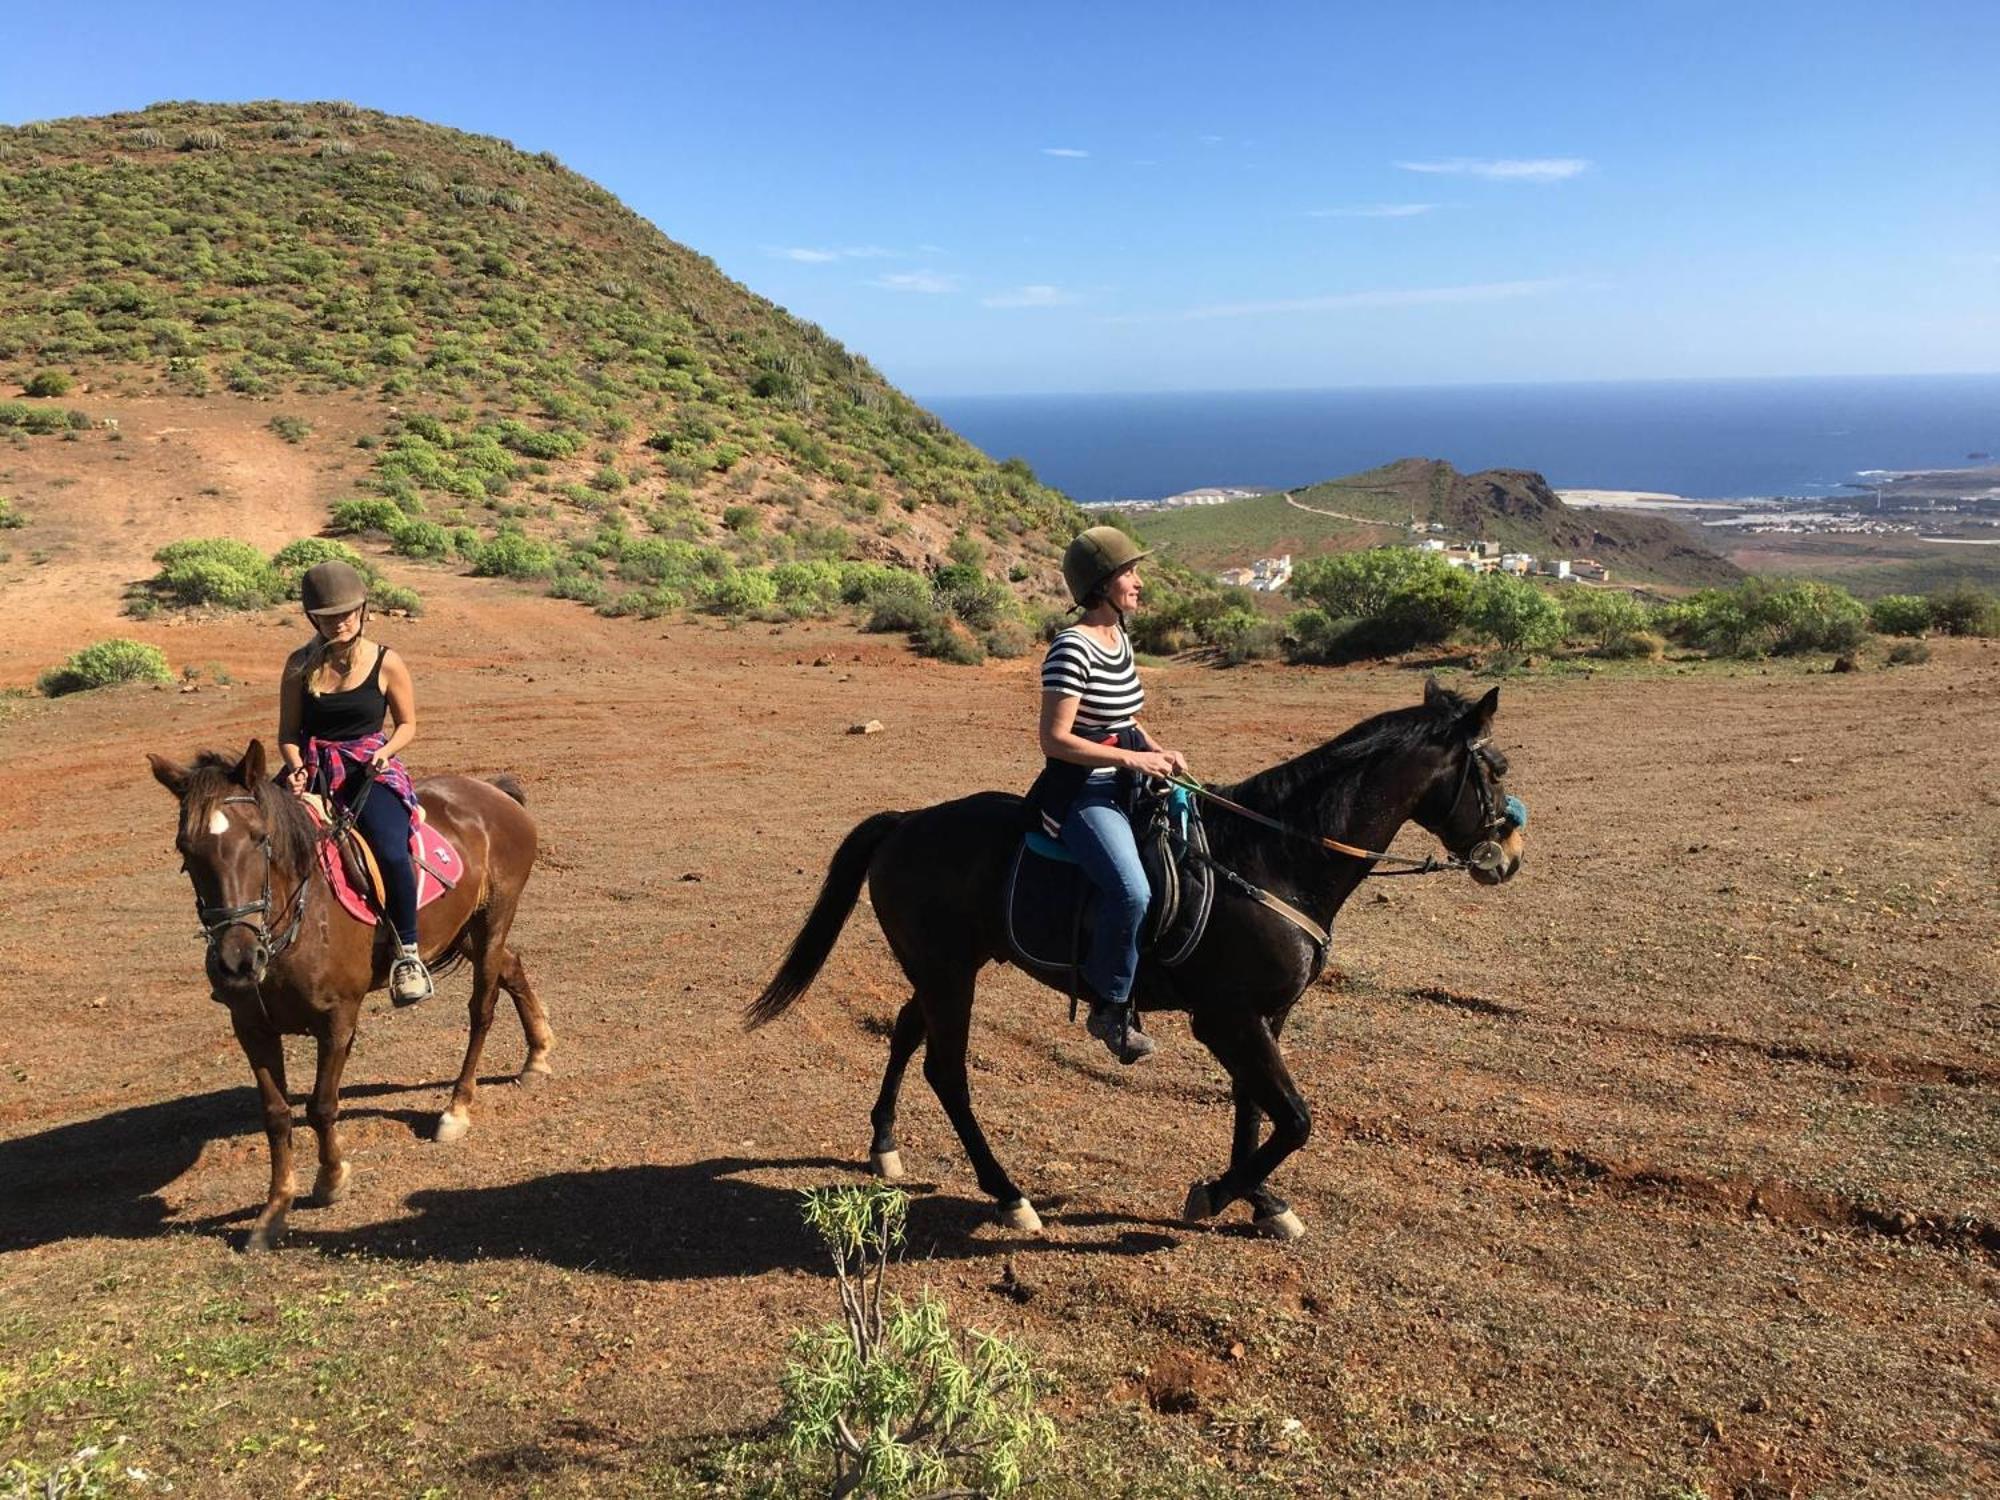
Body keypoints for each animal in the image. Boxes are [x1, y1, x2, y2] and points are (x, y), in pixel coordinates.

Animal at [146, 736, 556, 1248]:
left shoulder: (337, 1020)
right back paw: (537, 1055)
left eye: (259, 838)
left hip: (493, 920)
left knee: (482, 1008)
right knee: (512, 967)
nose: (237, 960)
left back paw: (457, 1108)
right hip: (460, 928)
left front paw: (331, 1179)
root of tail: (494, 792)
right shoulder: (251, 1028)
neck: (293, 924)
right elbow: (276, 1115)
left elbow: (321, 1106)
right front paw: (273, 1211)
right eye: (186, 848)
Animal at [752, 684, 1528, 1248]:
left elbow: (1256, 1110)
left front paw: (1261, 1201)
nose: (1509, 857)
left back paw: (884, 1144)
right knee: (947, 1072)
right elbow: (1296, 1119)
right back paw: (1009, 1194)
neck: (1273, 858)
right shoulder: (1227, 1019)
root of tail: (906, 822)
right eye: (1494, 770)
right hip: (949, 975)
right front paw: (1215, 1194)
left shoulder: (1263, 1016)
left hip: (946, 968)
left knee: (908, 1029)